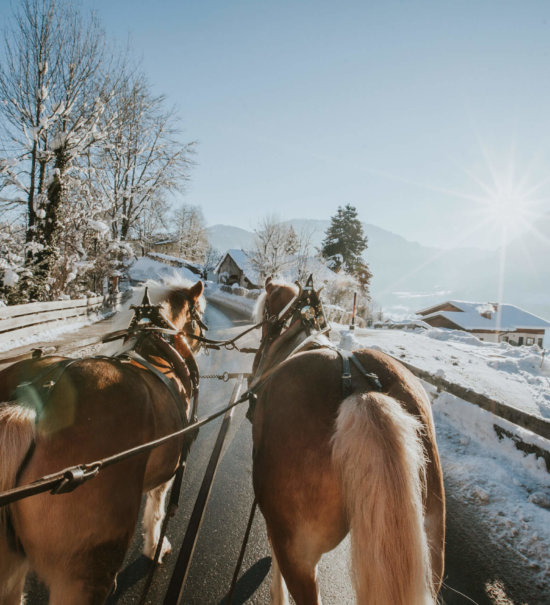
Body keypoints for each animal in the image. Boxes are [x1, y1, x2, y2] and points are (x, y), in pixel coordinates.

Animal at [0, 278, 205, 604]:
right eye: (199, 313)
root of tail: (30, 406)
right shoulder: (167, 471)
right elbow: (157, 509)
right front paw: (156, 547)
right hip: (85, 573)